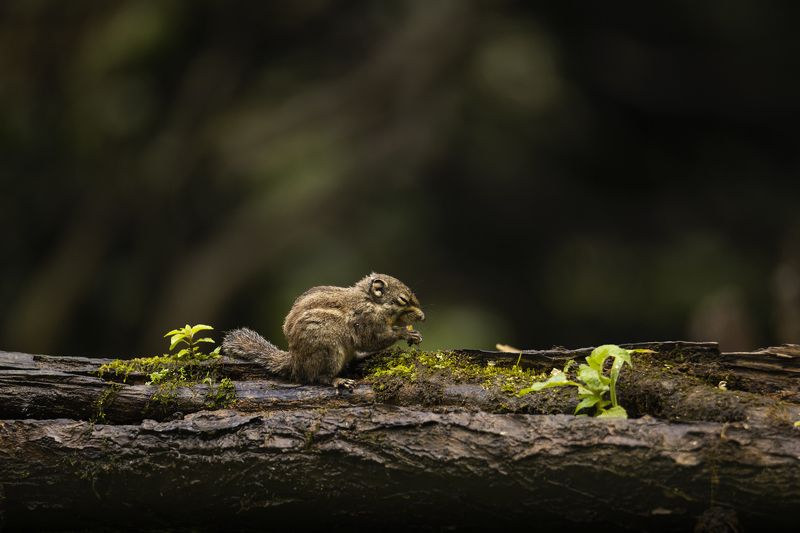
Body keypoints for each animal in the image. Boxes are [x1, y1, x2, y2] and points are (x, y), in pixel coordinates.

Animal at [222, 273, 425, 389]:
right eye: (403, 300)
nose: (422, 317)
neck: (371, 301)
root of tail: (295, 362)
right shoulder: (365, 320)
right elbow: (372, 339)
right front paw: (405, 333)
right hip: (329, 351)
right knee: (318, 377)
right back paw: (338, 380)